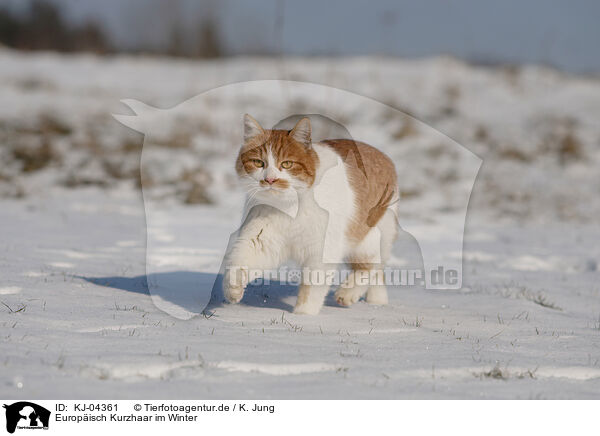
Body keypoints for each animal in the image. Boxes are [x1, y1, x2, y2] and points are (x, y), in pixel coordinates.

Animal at [221, 114, 398, 316]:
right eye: (259, 162)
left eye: (287, 164)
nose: (270, 179)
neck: (290, 209)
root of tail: (383, 156)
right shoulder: (261, 240)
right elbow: (239, 264)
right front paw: (233, 288)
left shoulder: (321, 251)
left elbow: (311, 289)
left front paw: (303, 317)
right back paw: (376, 303)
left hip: (367, 239)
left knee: (372, 267)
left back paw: (349, 294)